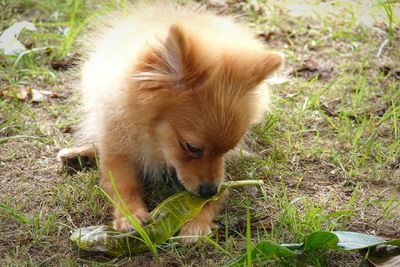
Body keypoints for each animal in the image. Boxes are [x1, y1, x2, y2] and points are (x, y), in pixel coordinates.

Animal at [58, 2, 284, 244]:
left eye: (227, 150)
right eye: (192, 147)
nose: (209, 190)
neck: (152, 141)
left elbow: (218, 195)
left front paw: (197, 223)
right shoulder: (118, 143)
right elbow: (122, 183)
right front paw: (130, 214)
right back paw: (77, 155)